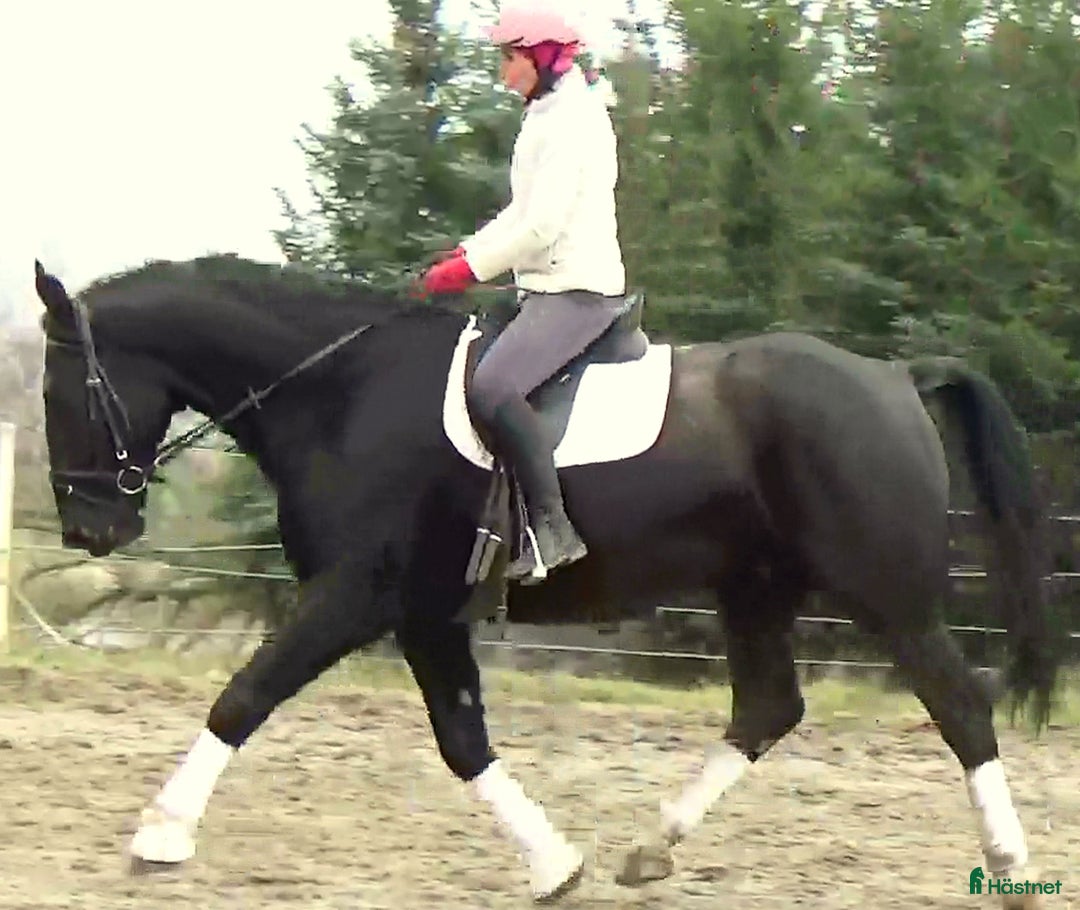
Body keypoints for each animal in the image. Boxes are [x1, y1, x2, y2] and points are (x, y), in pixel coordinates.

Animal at [33, 254, 1060, 908]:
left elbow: (242, 698)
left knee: (960, 705)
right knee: (770, 707)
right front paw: (555, 867)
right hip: (753, 588)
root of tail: (897, 376)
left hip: (886, 596)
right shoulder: (426, 616)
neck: (341, 394)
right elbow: (463, 742)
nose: (91, 529)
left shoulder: (353, 596)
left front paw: (159, 835)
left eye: (56, 390)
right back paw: (648, 850)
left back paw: (1010, 867)